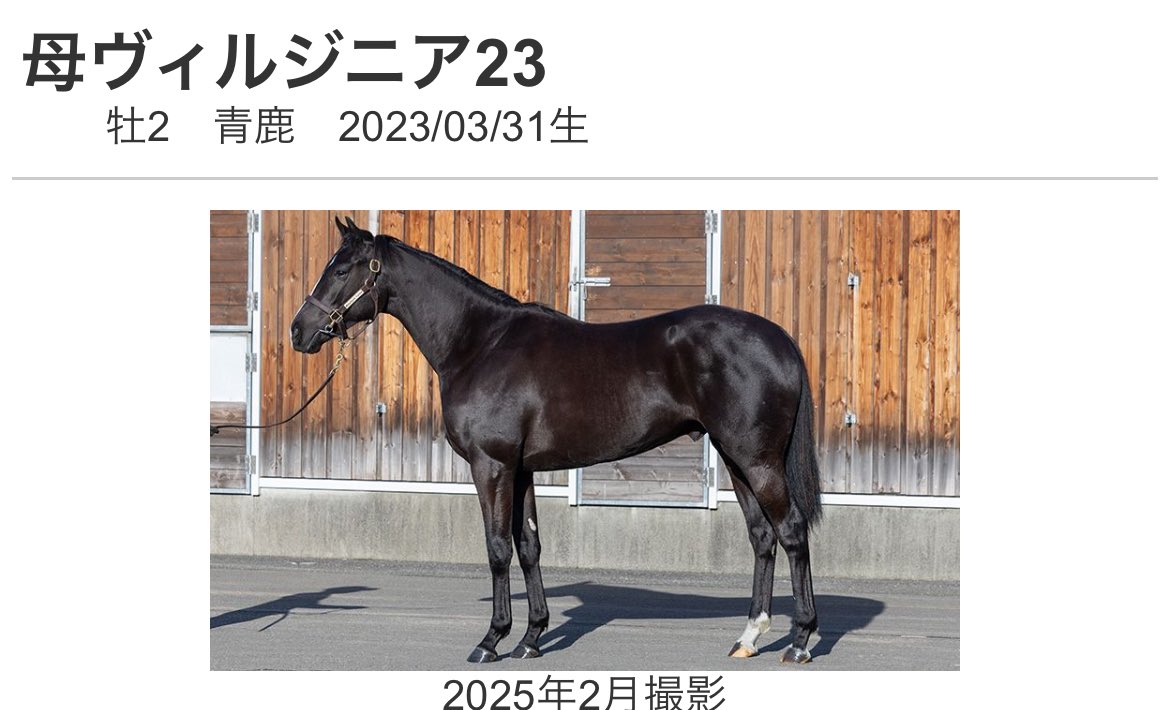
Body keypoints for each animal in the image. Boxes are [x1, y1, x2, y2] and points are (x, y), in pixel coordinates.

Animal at [290, 216, 823, 664]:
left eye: (341, 270)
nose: (299, 331)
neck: (480, 343)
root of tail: (781, 339)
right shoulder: (521, 469)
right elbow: (528, 547)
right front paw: (531, 638)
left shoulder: (491, 465)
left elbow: (497, 549)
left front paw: (491, 640)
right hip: (735, 459)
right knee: (761, 537)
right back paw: (748, 637)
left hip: (758, 460)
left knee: (792, 531)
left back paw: (800, 640)